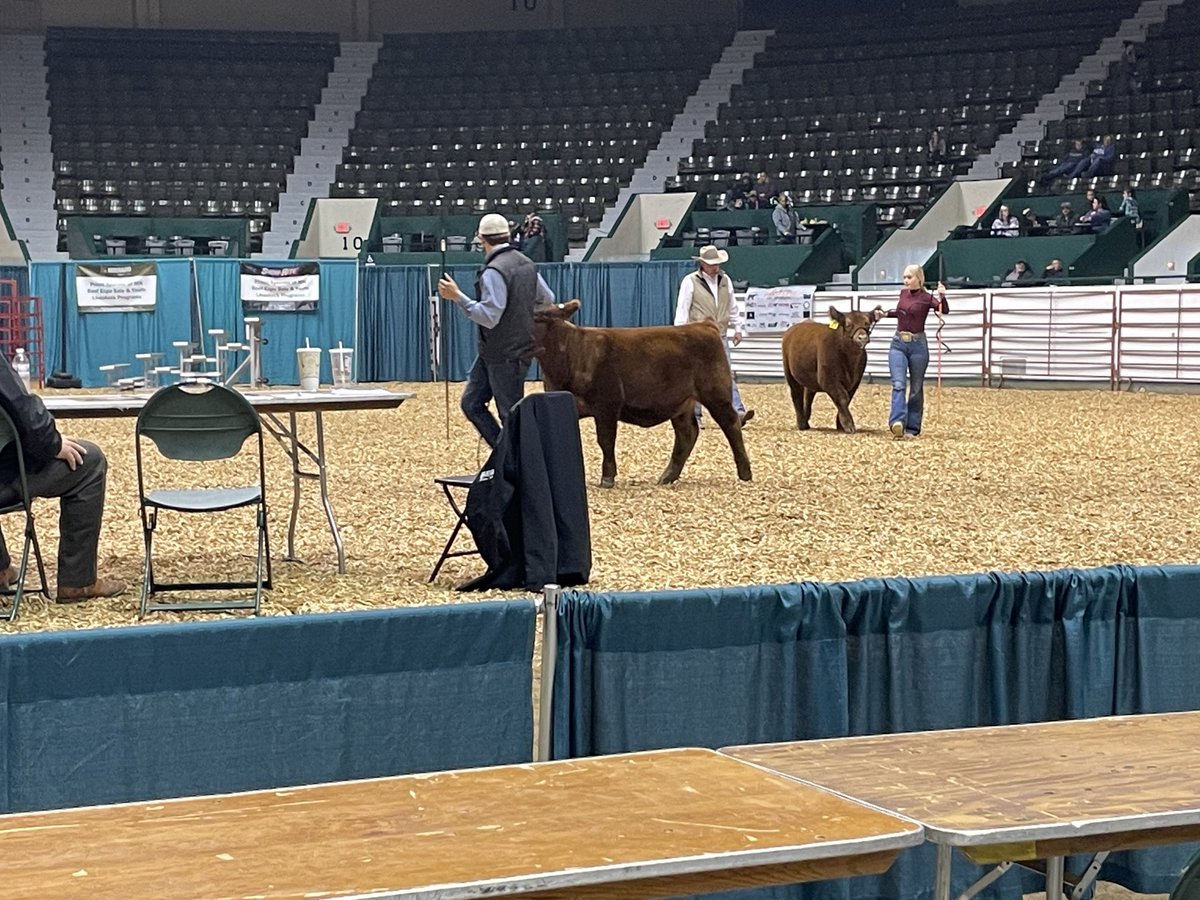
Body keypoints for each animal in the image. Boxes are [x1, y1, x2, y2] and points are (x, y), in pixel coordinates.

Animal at [533, 299, 752, 488]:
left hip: (716, 393)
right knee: (687, 433)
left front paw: (607, 478)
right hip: (682, 403)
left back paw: (745, 472)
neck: (572, 353)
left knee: (731, 423)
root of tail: (704, 325)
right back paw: (667, 476)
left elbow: (605, 440)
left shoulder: (607, 405)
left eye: (541, 315)